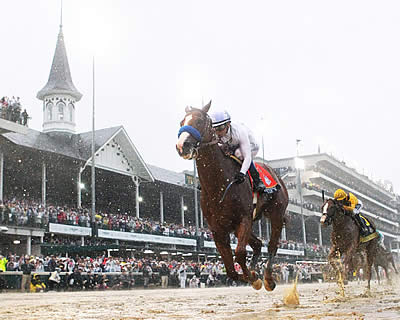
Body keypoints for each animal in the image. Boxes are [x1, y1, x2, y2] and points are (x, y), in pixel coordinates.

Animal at [176, 102, 288, 290]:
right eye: (181, 122)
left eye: (199, 121)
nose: (181, 145)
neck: (219, 186)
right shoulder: (218, 229)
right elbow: (230, 268)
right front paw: (251, 275)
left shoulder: (244, 218)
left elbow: (240, 253)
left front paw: (254, 278)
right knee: (258, 244)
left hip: (276, 213)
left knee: (272, 245)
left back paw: (268, 279)